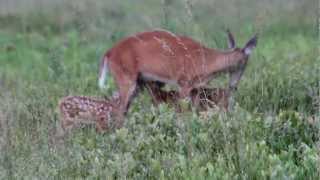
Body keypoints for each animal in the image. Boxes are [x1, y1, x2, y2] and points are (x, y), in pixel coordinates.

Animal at [99, 29, 258, 126]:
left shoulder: (194, 87)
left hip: (135, 82)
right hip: (126, 78)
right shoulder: (184, 82)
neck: (205, 61)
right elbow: (183, 111)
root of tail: (109, 53)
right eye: (242, 63)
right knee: (119, 109)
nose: (233, 85)